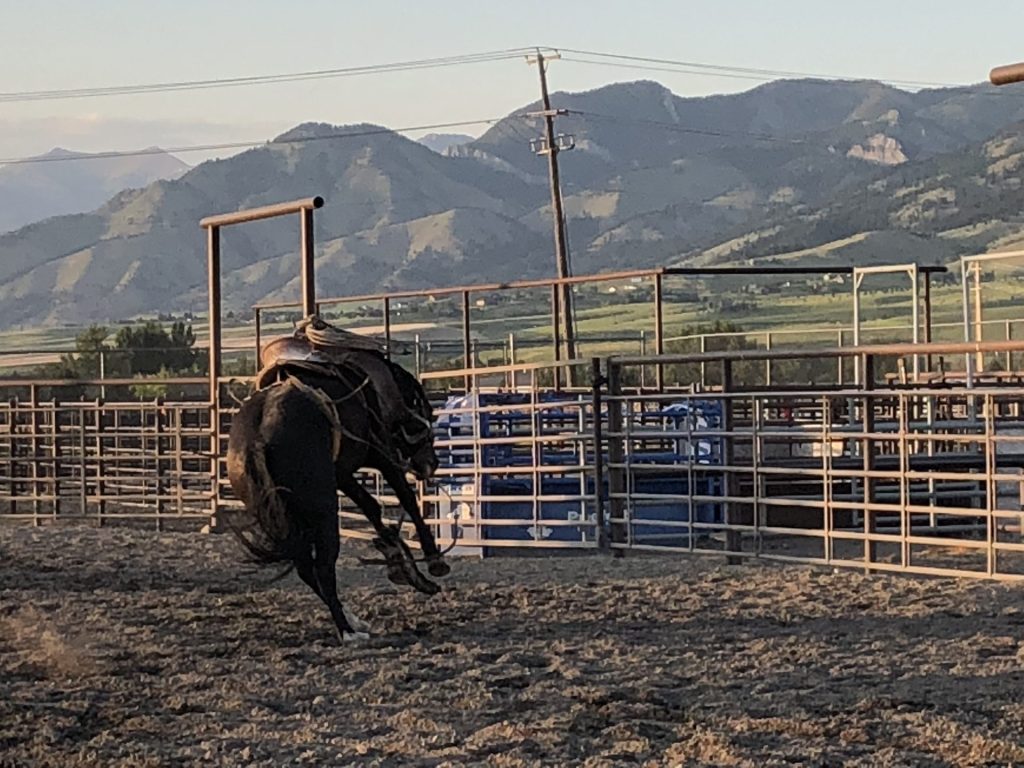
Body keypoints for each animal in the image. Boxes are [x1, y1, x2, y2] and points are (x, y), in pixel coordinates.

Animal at [226, 348, 450, 643]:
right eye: (427, 409)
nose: (431, 463)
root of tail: (257, 440)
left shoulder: (342, 472)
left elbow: (371, 506)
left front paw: (400, 561)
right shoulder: (380, 453)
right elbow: (406, 498)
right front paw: (433, 561)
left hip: (289, 517)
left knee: (306, 569)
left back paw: (353, 621)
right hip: (323, 512)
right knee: (322, 567)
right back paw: (348, 630)